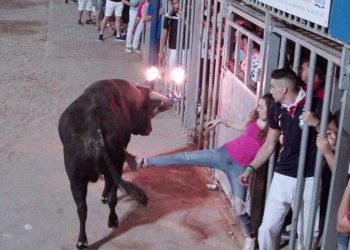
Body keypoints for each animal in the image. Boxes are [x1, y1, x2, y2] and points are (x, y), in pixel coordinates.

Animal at [58, 79, 170, 248]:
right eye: (147, 110)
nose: (149, 129)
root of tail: (95, 126)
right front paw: (105, 196)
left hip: (76, 180)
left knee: (82, 208)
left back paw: (82, 241)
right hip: (110, 167)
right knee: (109, 197)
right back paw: (112, 220)